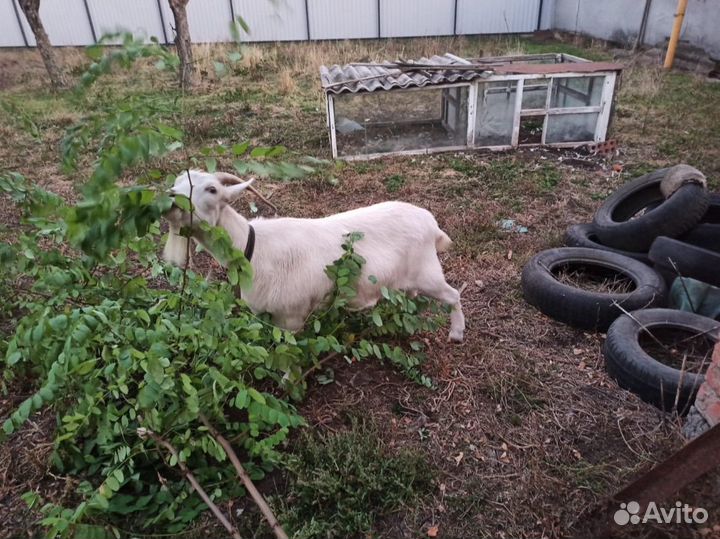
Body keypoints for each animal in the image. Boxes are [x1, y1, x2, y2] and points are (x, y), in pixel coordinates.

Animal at [163, 170, 465, 342]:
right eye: (175, 183)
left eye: (212, 189)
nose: (170, 201)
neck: (253, 248)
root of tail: (431, 222)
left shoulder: (292, 316)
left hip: (428, 272)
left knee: (452, 295)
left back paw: (456, 334)